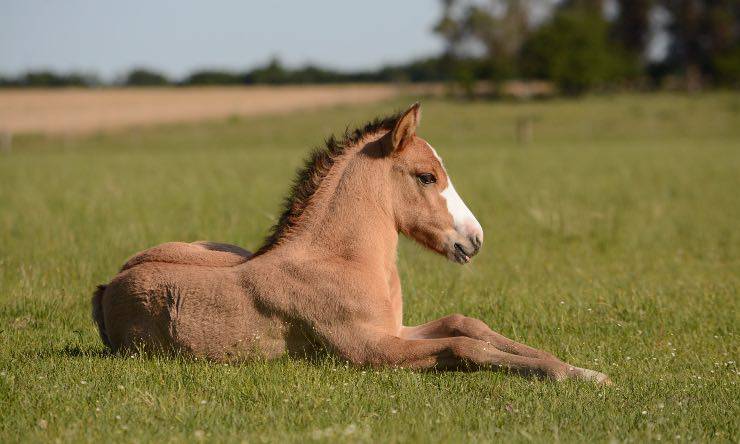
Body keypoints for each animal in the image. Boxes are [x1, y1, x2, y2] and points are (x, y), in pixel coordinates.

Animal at [92, 103, 610, 384]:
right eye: (426, 176)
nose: (475, 239)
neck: (341, 261)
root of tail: (107, 285)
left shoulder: (395, 330)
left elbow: (468, 325)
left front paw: (583, 370)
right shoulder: (369, 350)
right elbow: (467, 348)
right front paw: (567, 375)